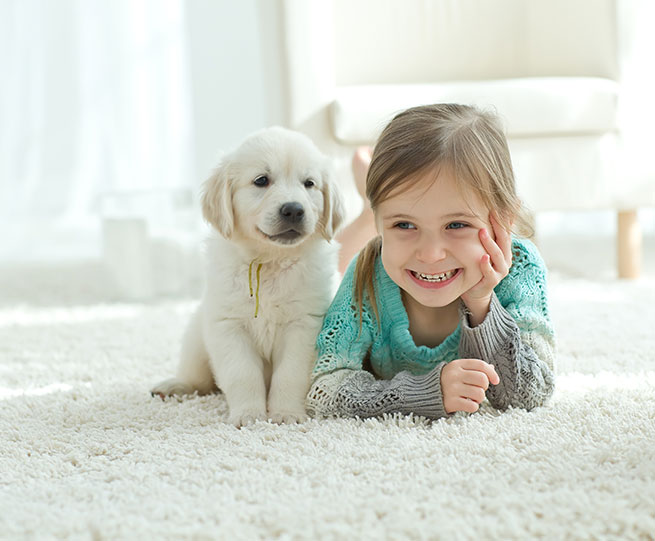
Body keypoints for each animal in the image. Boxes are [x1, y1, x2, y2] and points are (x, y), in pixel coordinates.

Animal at [149, 126, 344, 426]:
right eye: (261, 180)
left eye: (309, 183)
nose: (294, 209)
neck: (269, 260)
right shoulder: (228, 326)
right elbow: (242, 374)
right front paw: (249, 415)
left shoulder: (304, 325)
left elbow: (290, 374)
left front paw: (286, 413)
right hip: (195, 338)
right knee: (198, 379)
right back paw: (174, 385)